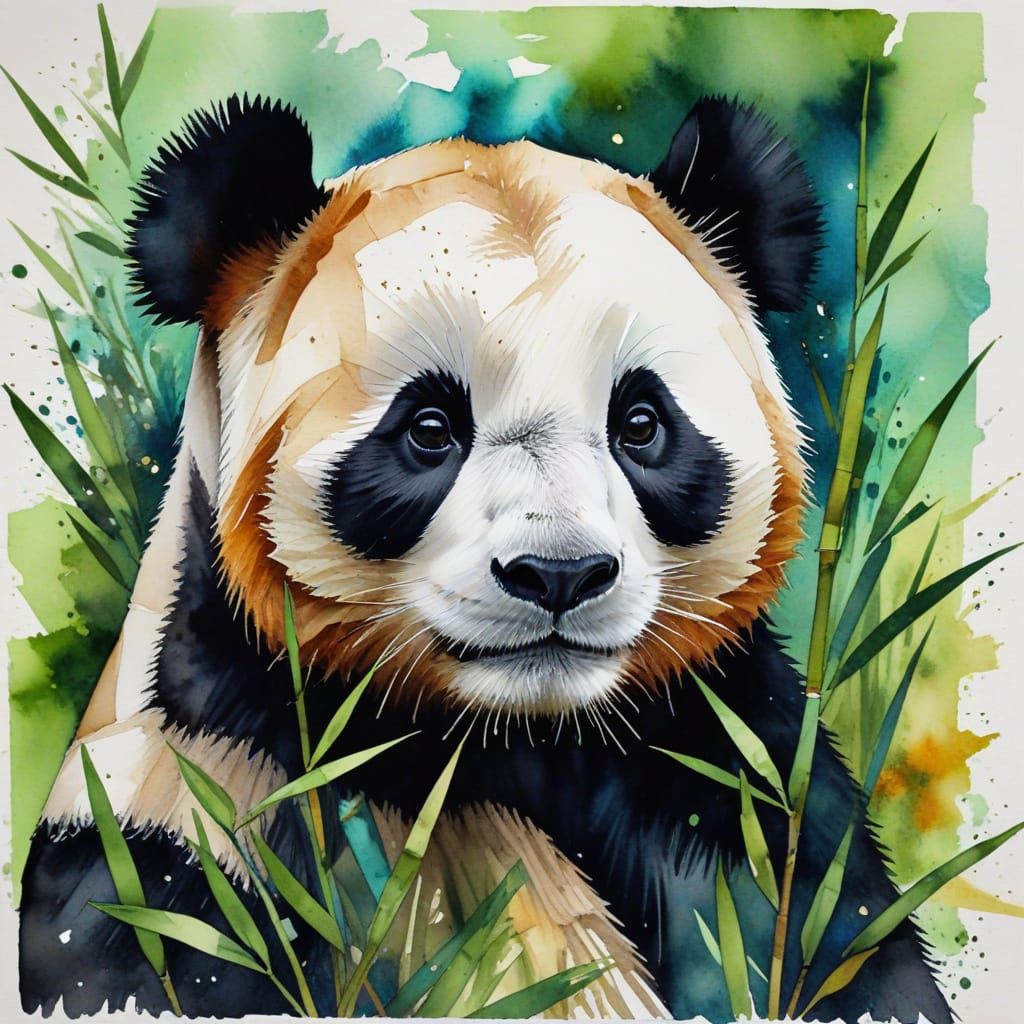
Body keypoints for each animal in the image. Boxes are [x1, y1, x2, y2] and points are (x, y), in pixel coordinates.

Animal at [18, 95, 954, 1023]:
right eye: (430, 428)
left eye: (641, 422)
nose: (559, 575)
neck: (523, 732)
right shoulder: (200, 816)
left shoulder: (734, 774)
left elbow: (825, 941)